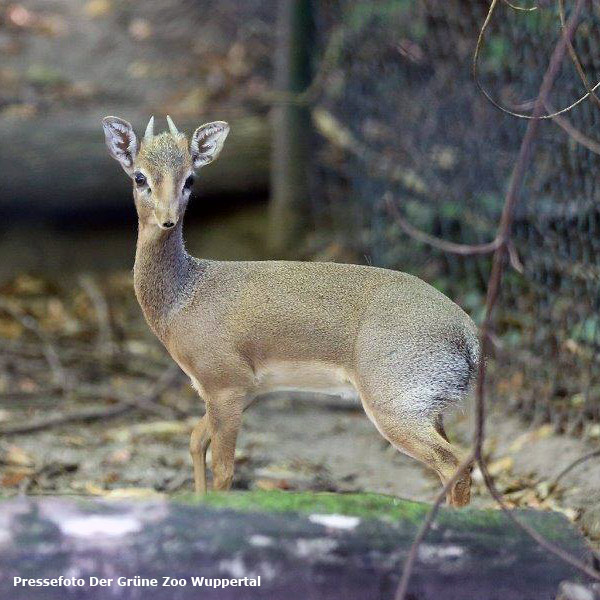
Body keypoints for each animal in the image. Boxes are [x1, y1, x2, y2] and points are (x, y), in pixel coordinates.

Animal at [102, 113, 478, 506]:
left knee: (454, 464)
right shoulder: (242, 390)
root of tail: (468, 334)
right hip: (429, 408)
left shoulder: (225, 385)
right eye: (139, 177)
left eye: (190, 178)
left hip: (394, 405)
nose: (168, 219)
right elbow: (194, 442)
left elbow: (224, 470)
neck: (184, 296)